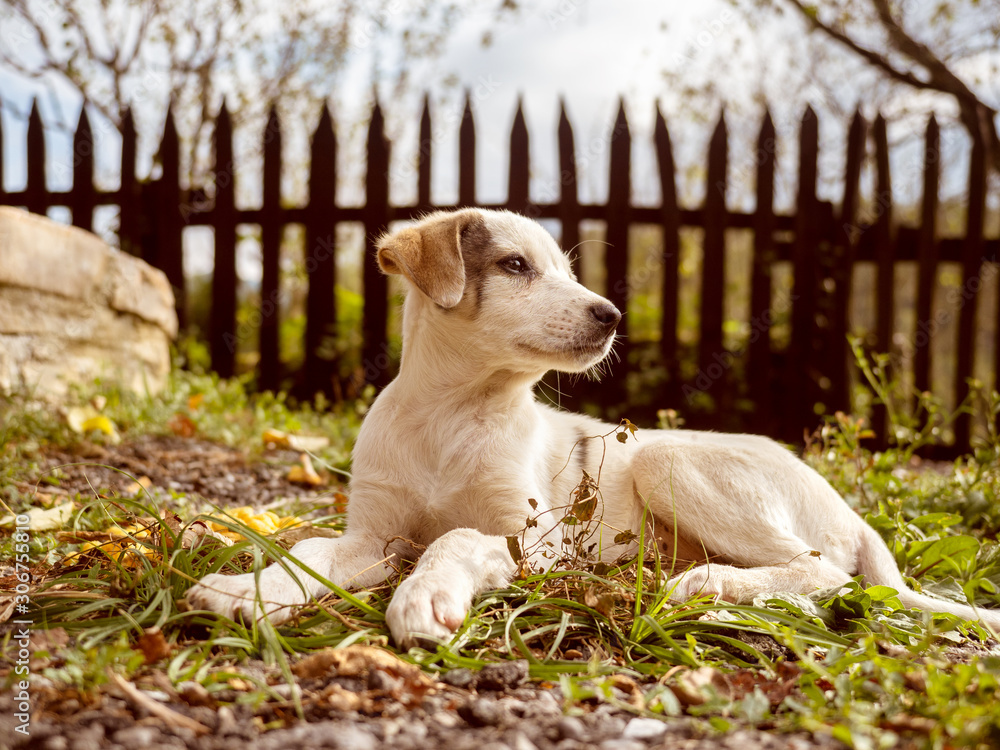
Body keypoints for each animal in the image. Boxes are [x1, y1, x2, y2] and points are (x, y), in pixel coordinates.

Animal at [188, 209, 1000, 644]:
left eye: (568, 270)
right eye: (515, 266)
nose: (611, 315)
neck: (453, 415)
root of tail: (851, 510)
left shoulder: (531, 542)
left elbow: (455, 539)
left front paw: (424, 597)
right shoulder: (372, 536)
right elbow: (312, 551)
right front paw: (246, 589)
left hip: (669, 462)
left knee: (823, 568)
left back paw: (707, 582)